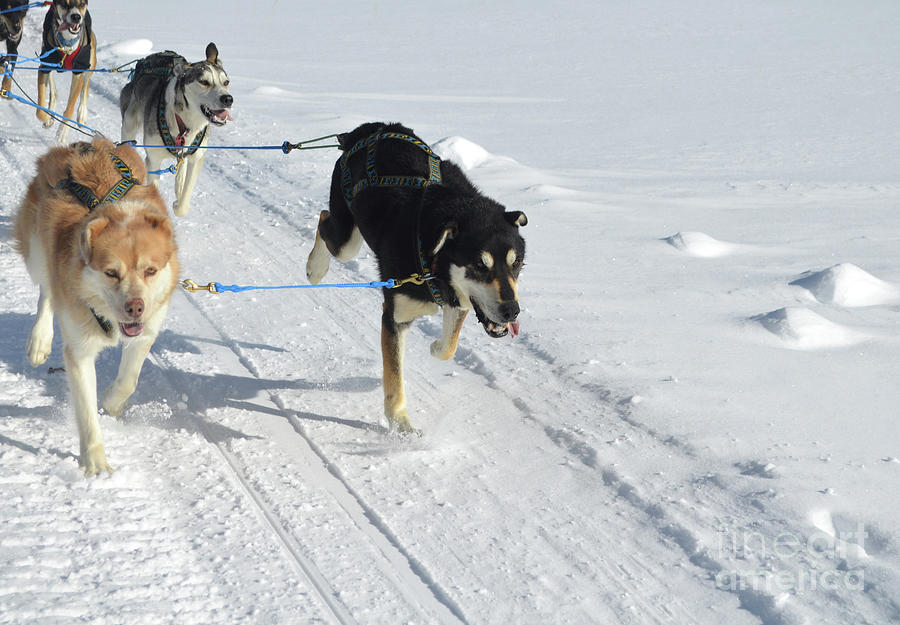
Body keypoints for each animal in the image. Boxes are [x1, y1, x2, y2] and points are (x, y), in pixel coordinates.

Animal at [13, 138, 179, 478]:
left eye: (151, 271)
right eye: (111, 272)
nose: (136, 307)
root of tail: (85, 145)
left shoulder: (145, 333)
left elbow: (128, 381)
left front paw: (113, 402)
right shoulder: (80, 351)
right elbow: (87, 415)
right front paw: (95, 463)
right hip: (36, 251)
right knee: (46, 289)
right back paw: (39, 340)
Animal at [36, 0, 96, 144]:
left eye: (81, 4)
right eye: (65, 4)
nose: (76, 17)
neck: (67, 44)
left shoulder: (78, 72)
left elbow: (70, 107)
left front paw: (63, 132)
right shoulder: (44, 67)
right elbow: (40, 109)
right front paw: (47, 117)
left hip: (91, 62)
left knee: (86, 86)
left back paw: (82, 114)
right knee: (54, 92)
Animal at [119, 44, 232, 217]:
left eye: (226, 82)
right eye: (204, 82)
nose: (228, 99)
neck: (186, 124)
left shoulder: (197, 157)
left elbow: (183, 205)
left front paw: (178, 201)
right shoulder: (153, 161)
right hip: (128, 125)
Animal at [308, 122, 528, 434]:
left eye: (516, 263)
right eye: (479, 265)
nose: (512, 311)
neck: (430, 248)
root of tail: (370, 128)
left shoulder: (459, 299)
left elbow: (448, 347)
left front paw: (435, 345)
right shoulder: (395, 317)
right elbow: (394, 377)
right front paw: (400, 422)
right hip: (346, 241)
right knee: (325, 219)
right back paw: (314, 268)